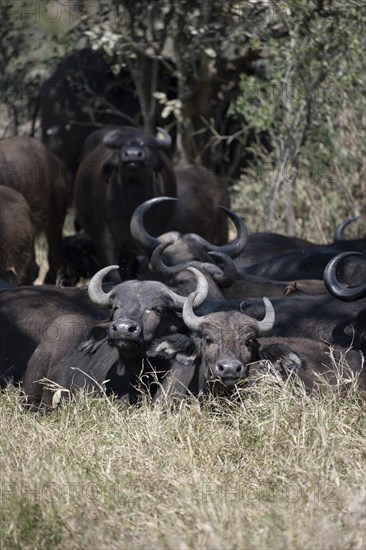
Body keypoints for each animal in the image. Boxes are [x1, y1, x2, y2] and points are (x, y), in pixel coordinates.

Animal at [73, 125, 176, 280]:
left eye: (148, 146)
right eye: (121, 146)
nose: (133, 155)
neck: (130, 209)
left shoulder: (147, 237)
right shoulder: (106, 236)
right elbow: (111, 269)